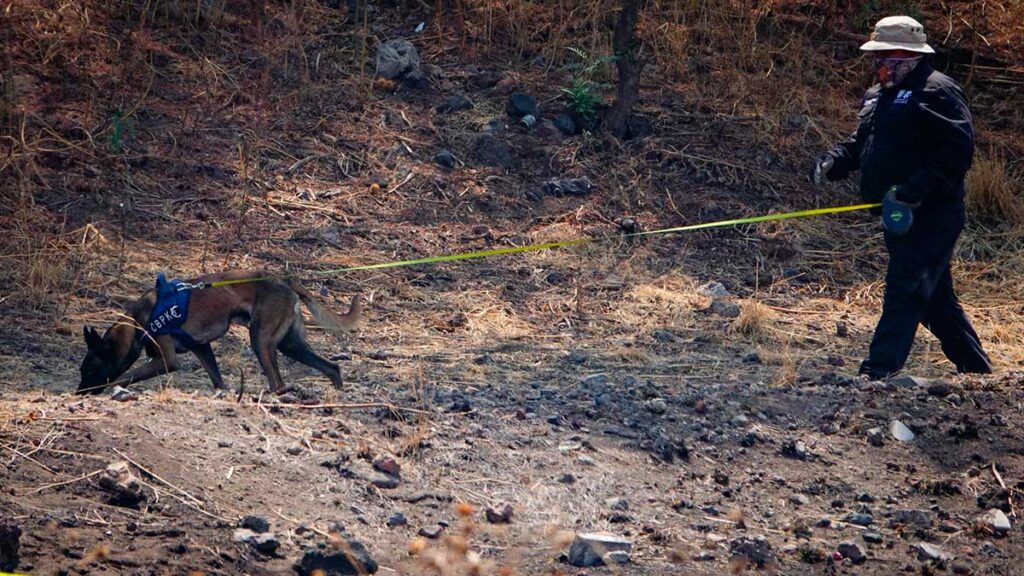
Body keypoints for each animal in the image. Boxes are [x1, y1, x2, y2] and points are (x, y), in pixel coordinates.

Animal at [78, 268, 360, 393]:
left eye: (89, 370)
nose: (79, 392)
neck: (137, 322)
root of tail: (285, 279)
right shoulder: (202, 348)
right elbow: (217, 379)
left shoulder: (167, 361)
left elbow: (124, 377)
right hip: (290, 345)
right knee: (332, 367)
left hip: (261, 341)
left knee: (278, 383)